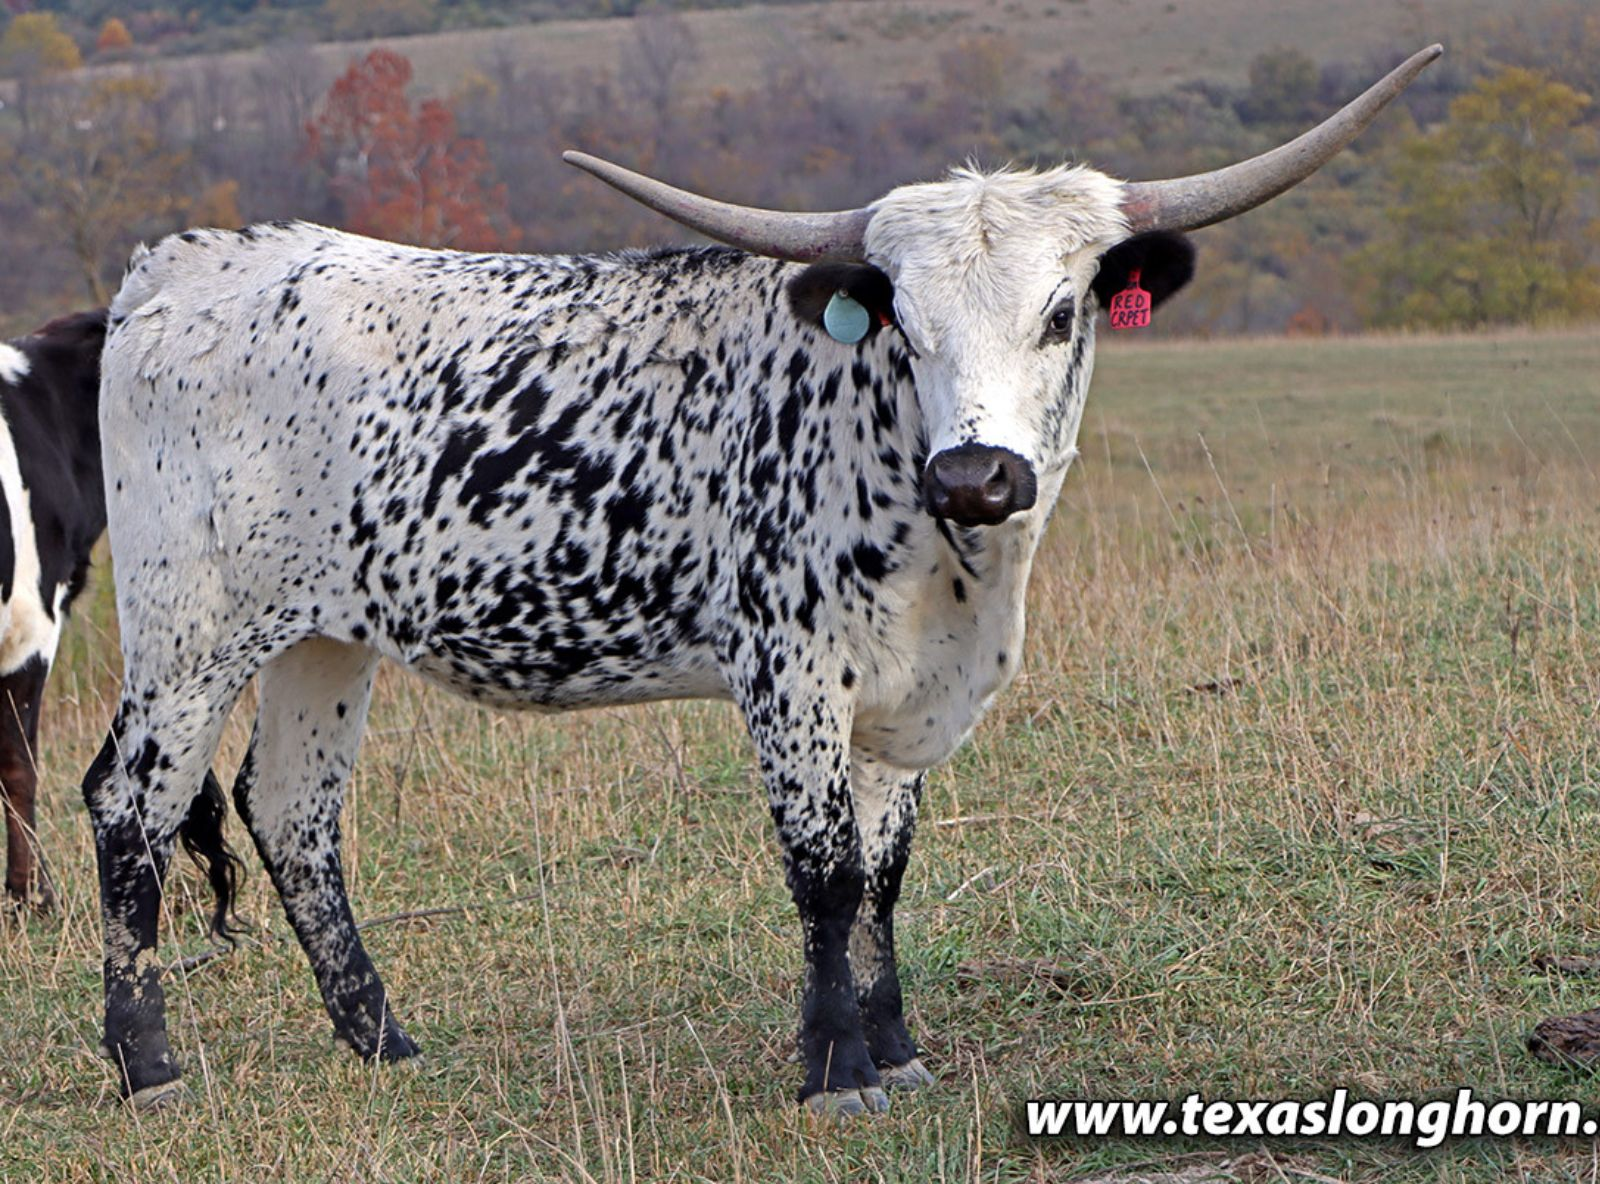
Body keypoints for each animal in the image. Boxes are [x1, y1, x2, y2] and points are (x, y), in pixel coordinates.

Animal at [84, 47, 1441, 1112]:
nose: (978, 472)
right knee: (131, 803)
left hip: (322, 634)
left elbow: (885, 877)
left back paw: (384, 1041)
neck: (955, 563)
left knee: (292, 809)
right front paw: (833, 1068)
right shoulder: (789, 680)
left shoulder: (904, 706)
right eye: (903, 322)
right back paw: (148, 1063)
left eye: (1063, 311)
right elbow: (825, 874)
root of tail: (179, 266)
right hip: (186, 629)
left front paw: (897, 1049)